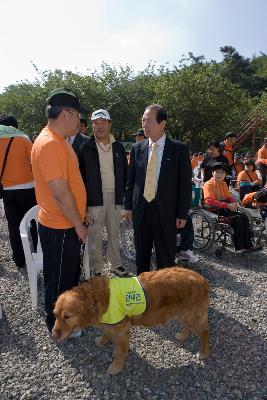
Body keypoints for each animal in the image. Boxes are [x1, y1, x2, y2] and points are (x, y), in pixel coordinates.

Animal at [52, 266, 211, 376]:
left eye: (67, 316)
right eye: (56, 315)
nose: (54, 334)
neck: (97, 298)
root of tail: (202, 280)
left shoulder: (122, 330)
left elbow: (121, 351)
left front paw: (116, 366)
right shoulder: (110, 323)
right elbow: (107, 332)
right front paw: (103, 341)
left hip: (193, 316)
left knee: (204, 333)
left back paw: (203, 353)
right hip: (184, 313)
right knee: (187, 326)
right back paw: (183, 336)